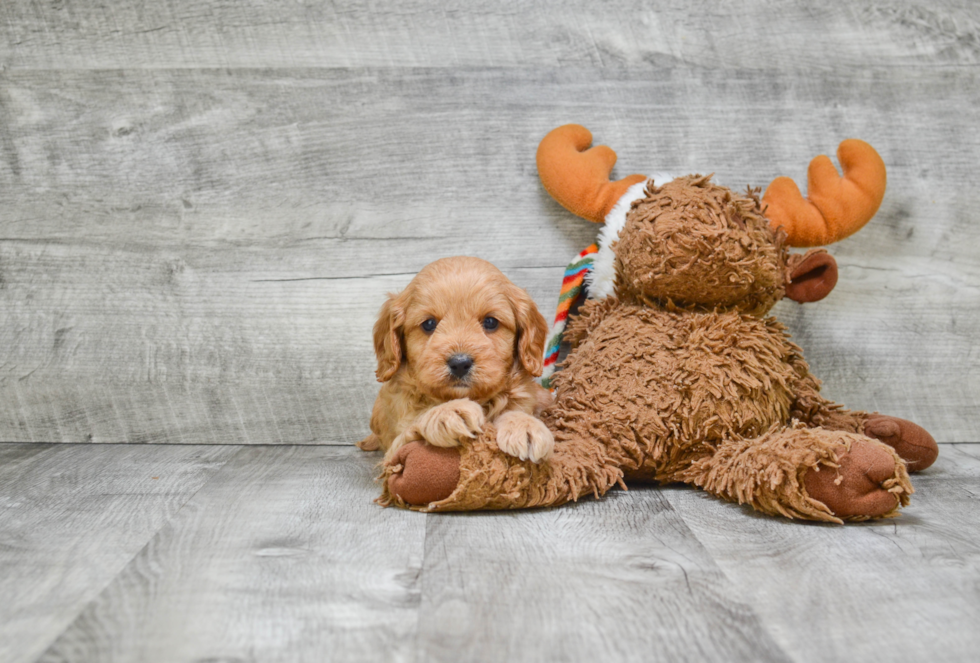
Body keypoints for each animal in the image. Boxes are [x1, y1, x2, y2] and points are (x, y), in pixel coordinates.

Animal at [360, 256, 556, 464]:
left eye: (490, 322)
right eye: (429, 324)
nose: (460, 363)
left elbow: (515, 408)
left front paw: (524, 425)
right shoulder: (394, 451)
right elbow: (417, 420)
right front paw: (448, 412)